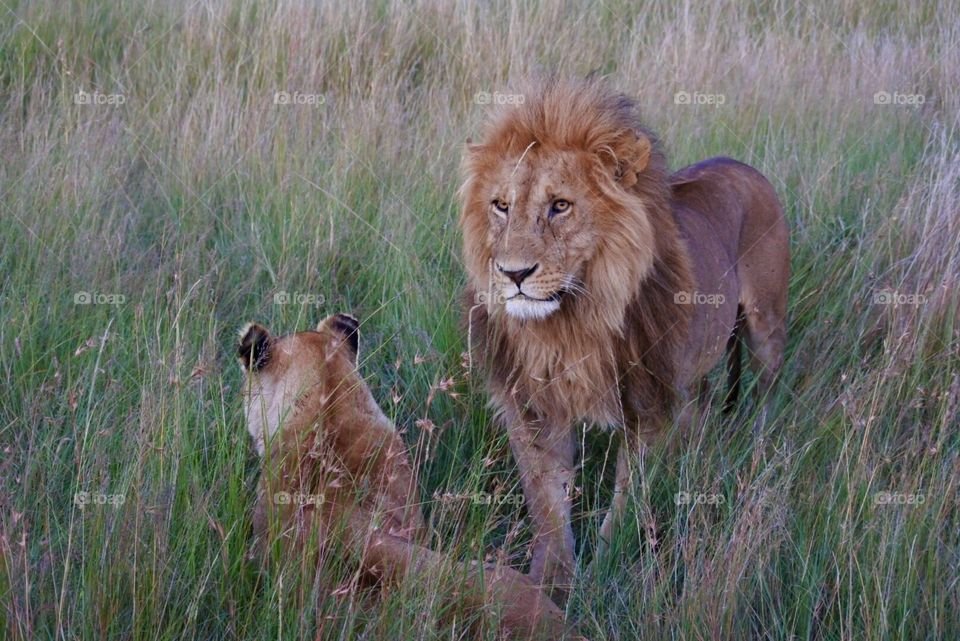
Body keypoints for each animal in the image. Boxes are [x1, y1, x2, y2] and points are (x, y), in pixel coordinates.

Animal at [460, 77, 790, 602]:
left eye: (560, 205)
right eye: (501, 206)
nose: (513, 274)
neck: (572, 325)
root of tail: (742, 165)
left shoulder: (648, 404)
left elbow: (626, 502)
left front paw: (603, 574)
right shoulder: (533, 408)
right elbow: (547, 504)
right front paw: (551, 584)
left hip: (766, 327)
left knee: (765, 391)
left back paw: (756, 447)